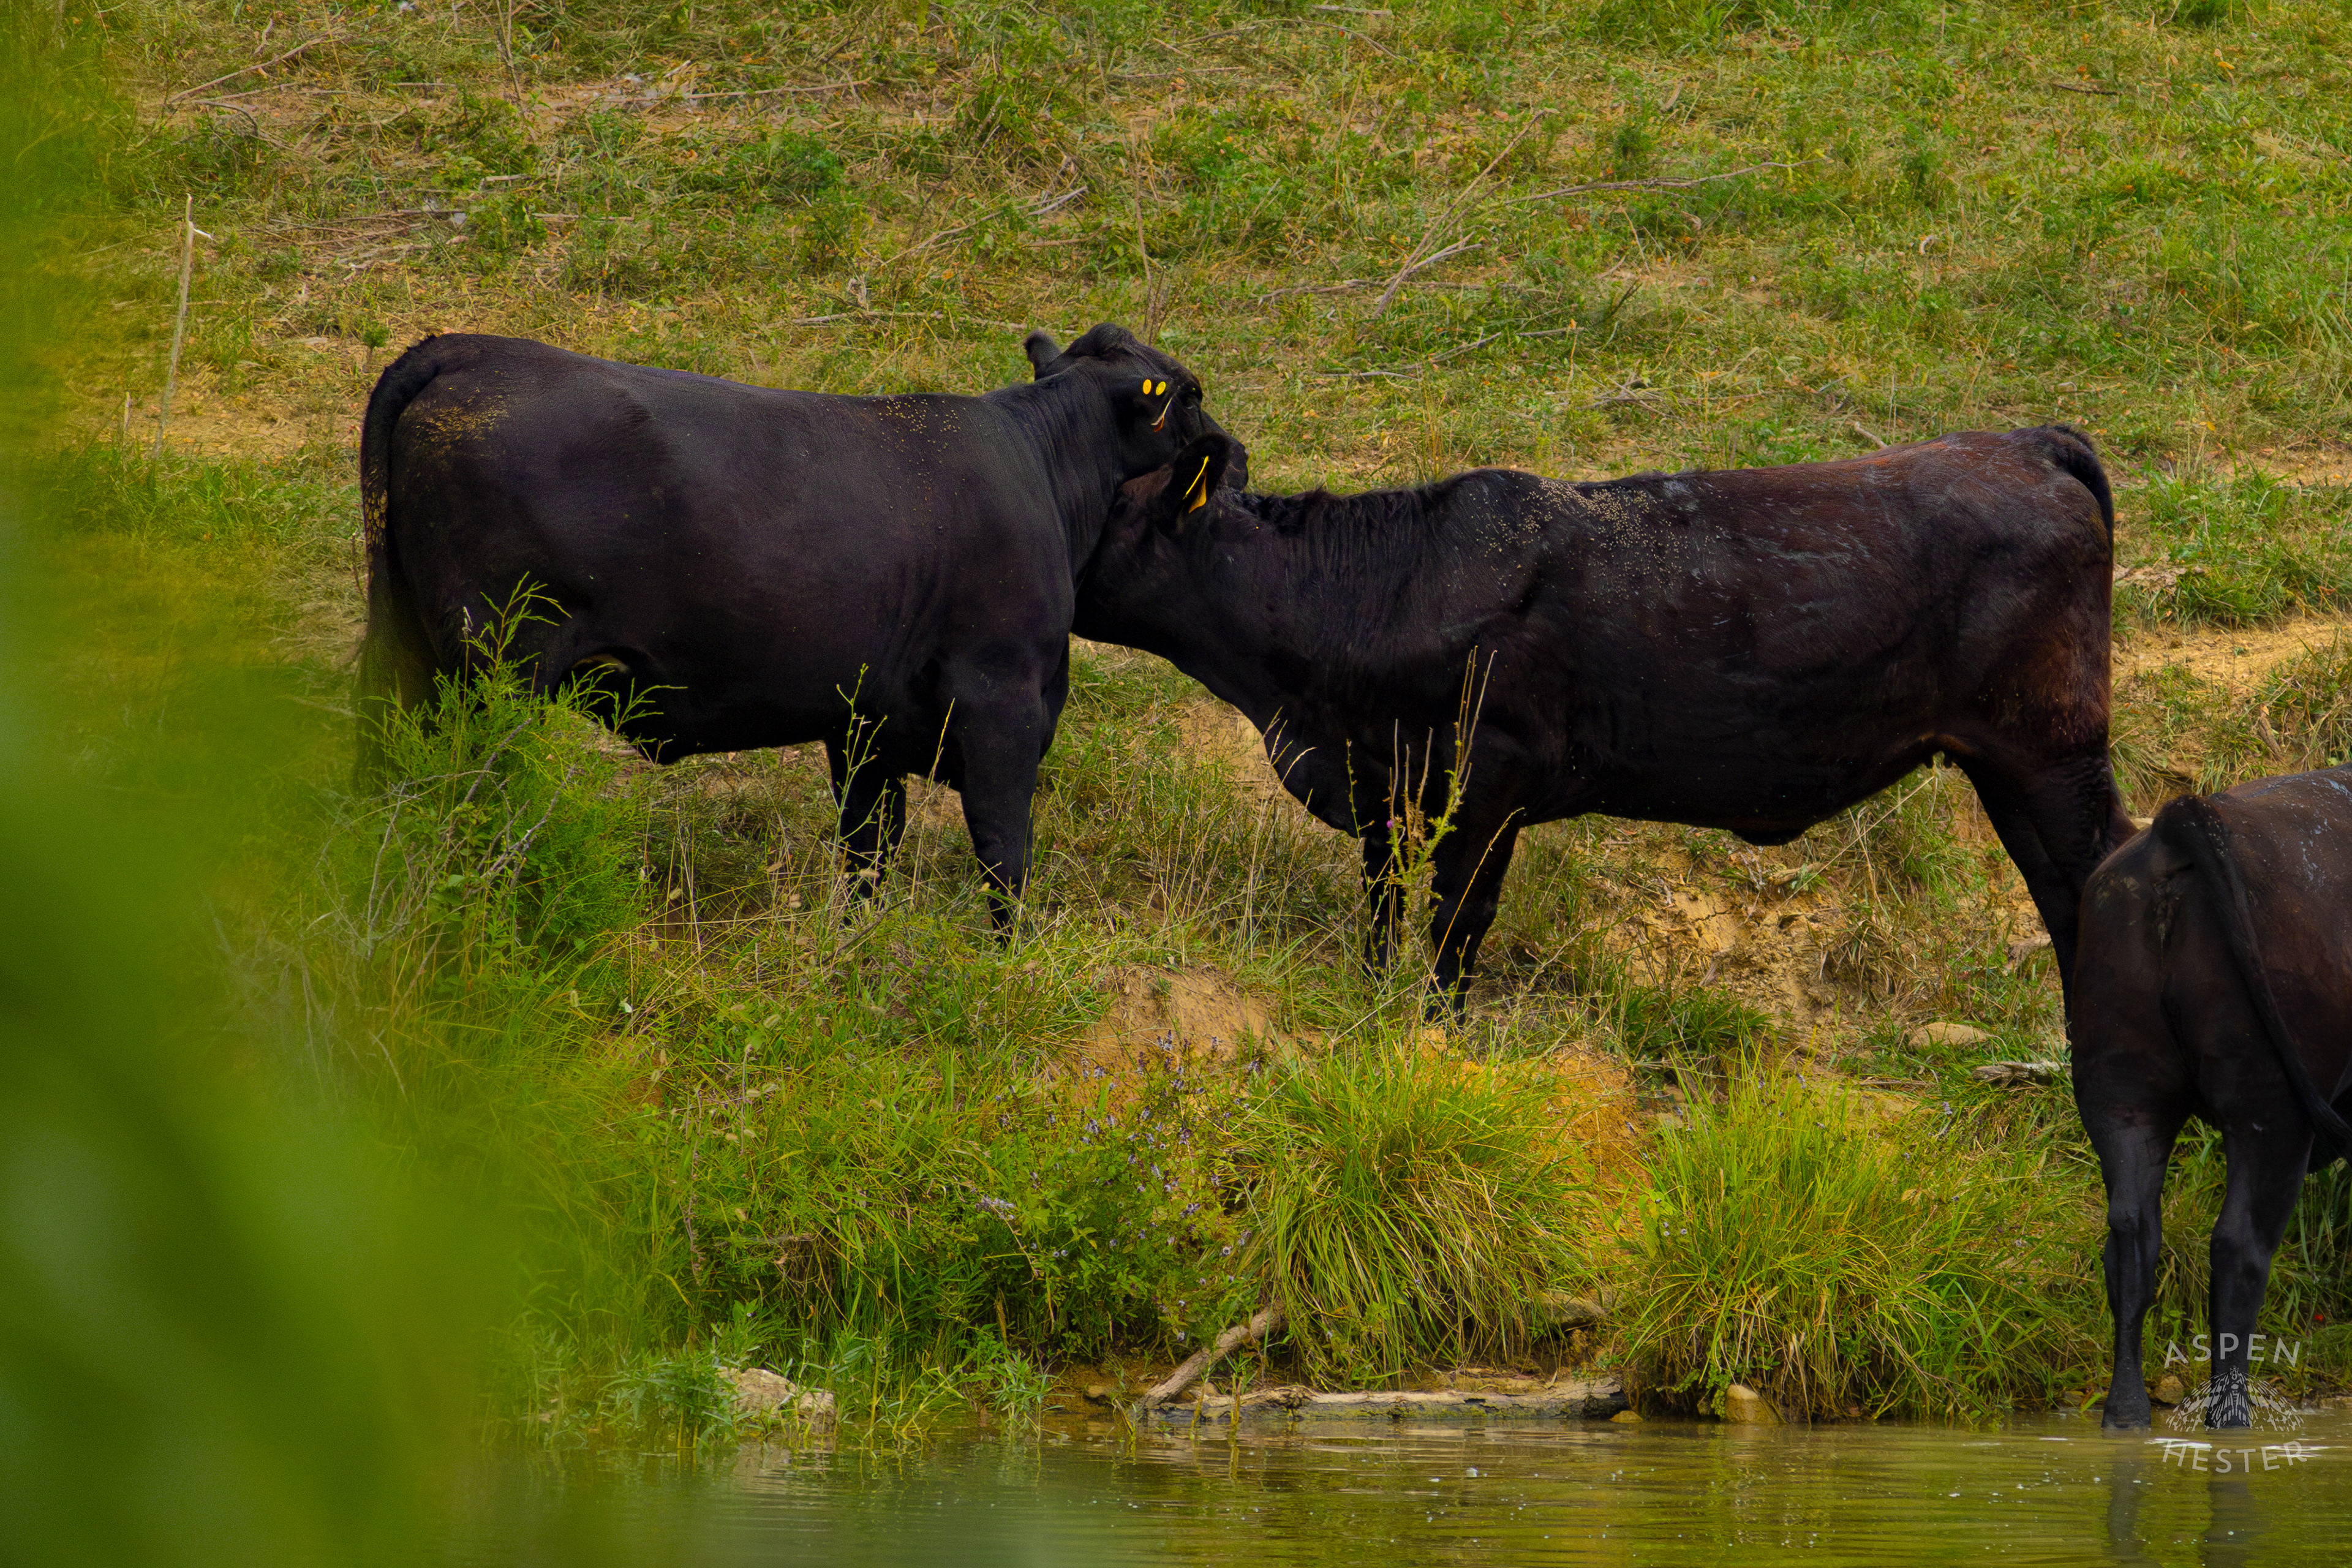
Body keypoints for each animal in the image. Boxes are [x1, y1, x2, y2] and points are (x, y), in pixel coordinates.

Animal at [356, 325, 1236, 925]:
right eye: (1188, 392)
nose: (1230, 449)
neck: (1043, 467)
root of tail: (466, 350)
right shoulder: (1003, 702)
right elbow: (1003, 850)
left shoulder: (868, 726)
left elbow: (868, 851)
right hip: (495, 672)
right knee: (475, 798)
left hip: (405, 649)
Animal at [1075, 427, 2136, 1012]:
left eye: (1104, 507)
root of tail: (2026, 441)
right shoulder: (1379, 776)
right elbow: (1383, 901)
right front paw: (1372, 1001)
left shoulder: (1491, 778)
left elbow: (1455, 926)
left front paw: (1435, 1037)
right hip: (2011, 765)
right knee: (2065, 896)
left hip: (2051, 751)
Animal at [2071, 767, 2352, 1429]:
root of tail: (2179, 822)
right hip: (2272, 1112)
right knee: (2238, 1248)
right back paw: (2230, 1417)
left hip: (2119, 1091)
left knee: (2131, 1238)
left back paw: (2127, 1413)